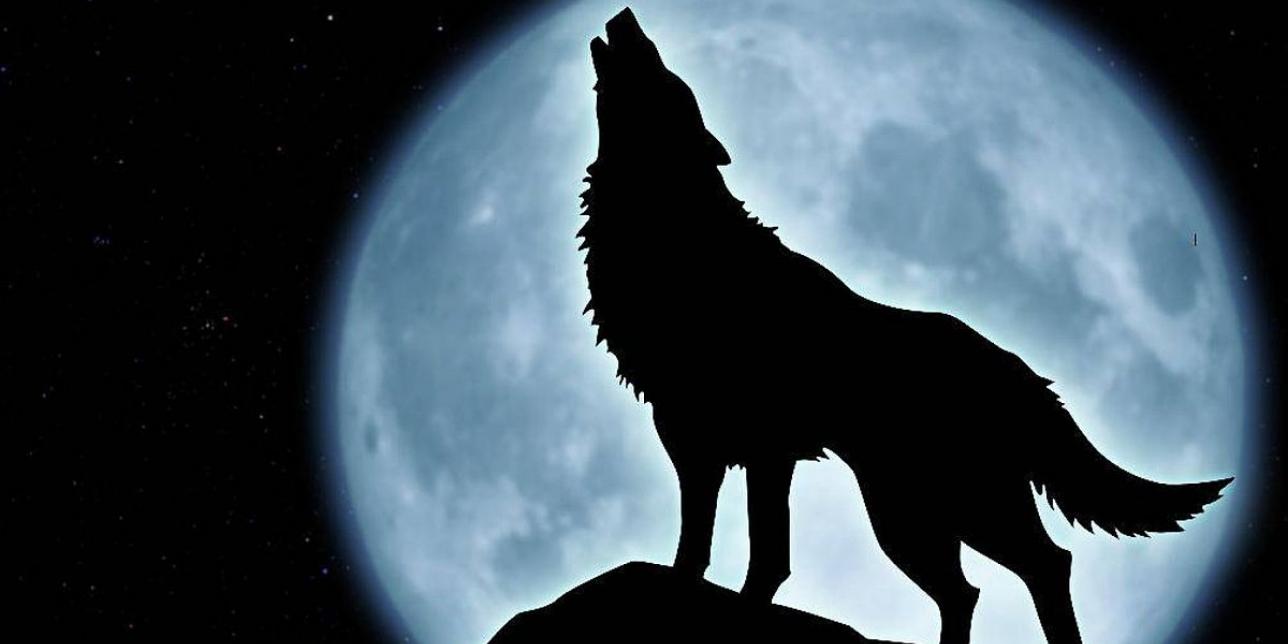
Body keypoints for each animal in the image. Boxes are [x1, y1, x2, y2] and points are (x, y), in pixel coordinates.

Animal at [578, 9, 1231, 644]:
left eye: (666, 78)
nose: (627, 15)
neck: (682, 234)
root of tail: (1022, 371)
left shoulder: (754, 449)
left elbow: (755, 555)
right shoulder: (703, 444)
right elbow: (717, 549)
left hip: (950, 506)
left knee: (1045, 565)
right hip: (912, 514)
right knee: (968, 590)